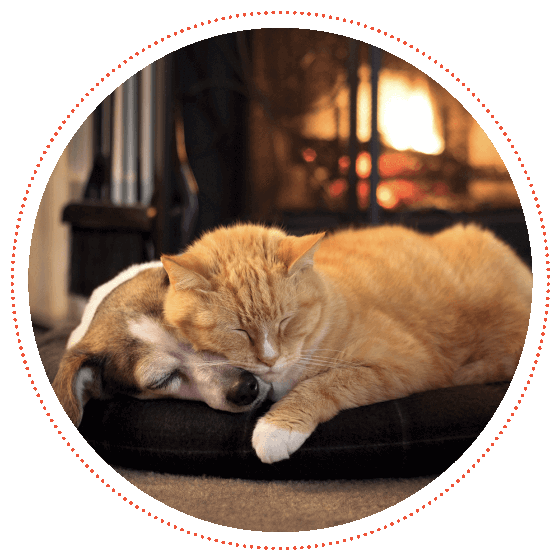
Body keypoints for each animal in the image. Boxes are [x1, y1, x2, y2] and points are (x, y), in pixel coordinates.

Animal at [160, 223, 532, 464]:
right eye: (239, 331)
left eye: (286, 320)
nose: (270, 359)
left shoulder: (405, 364)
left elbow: (325, 383)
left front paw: (276, 428)